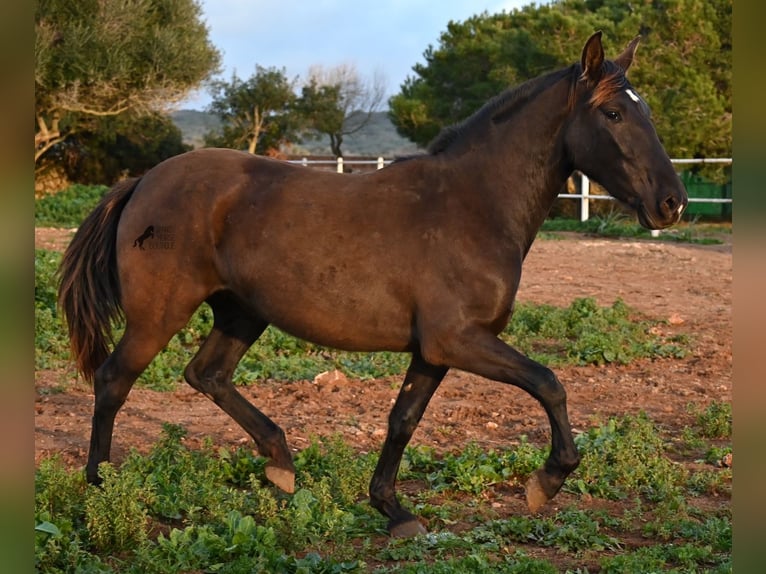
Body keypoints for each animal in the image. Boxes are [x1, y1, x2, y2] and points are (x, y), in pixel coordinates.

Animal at [57, 32, 688, 540]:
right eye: (613, 114)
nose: (672, 202)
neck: (474, 204)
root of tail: (143, 182)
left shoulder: (434, 350)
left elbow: (402, 420)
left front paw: (393, 509)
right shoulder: (460, 339)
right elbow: (550, 383)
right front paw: (546, 483)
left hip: (242, 313)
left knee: (205, 374)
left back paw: (280, 464)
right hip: (160, 314)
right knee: (113, 381)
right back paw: (101, 490)